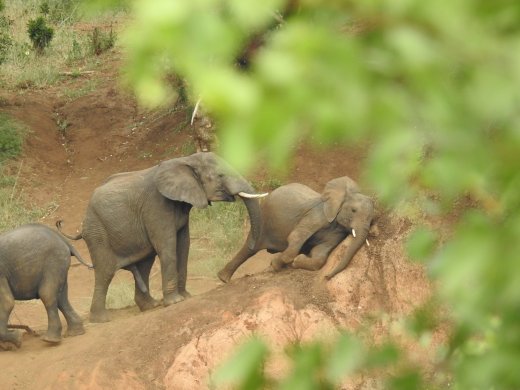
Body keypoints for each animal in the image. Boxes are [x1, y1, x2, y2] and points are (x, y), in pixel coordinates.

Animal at [59, 151, 266, 322]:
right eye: (220, 176)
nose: (223, 278)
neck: (185, 160)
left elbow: (184, 246)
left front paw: (186, 297)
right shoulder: (157, 206)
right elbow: (168, 246)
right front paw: (175, 302)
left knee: (145, 263)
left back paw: (151, 306)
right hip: (97, 230)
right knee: (106, 271)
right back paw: (101, 319)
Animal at [218, 177, 378, 284]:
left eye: (372, 219)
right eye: (353, 210)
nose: (327, 277)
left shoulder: (336, 233)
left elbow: (320, 255)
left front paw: (297, 261)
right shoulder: (316, 215)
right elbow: (295, 238)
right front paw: (278, 265)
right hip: (263, 218)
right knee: (250, 247)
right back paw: (223, 279)